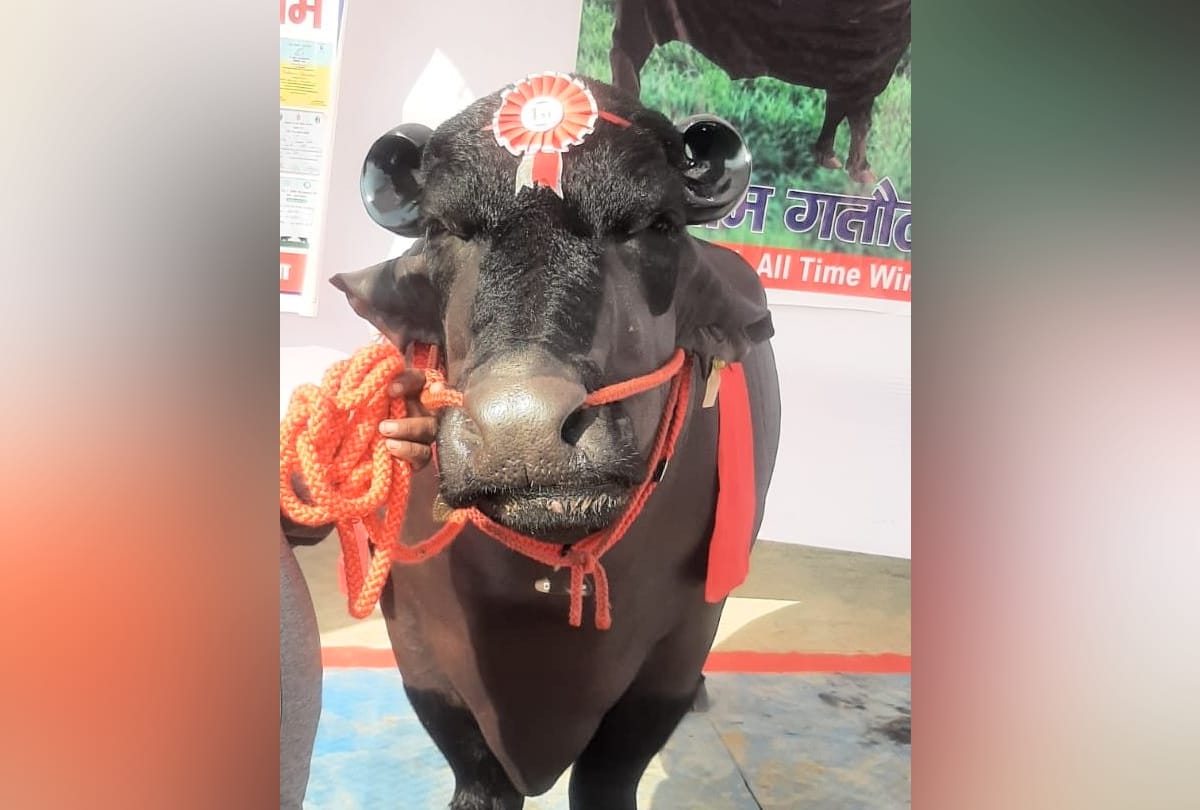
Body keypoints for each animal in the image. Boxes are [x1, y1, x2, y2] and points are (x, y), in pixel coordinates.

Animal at [311, 74, 781, 809]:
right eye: (442, 228)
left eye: (658, 225)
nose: (520, 428)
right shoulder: (419, 647)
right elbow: (478, 771)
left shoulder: (677, 649)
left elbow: (609, 775)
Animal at [608, 0, 912, 184]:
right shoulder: (866, 72)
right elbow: (860, 121)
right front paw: (862, 171)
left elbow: (838, 113)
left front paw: (827, 156)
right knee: (624, 54)